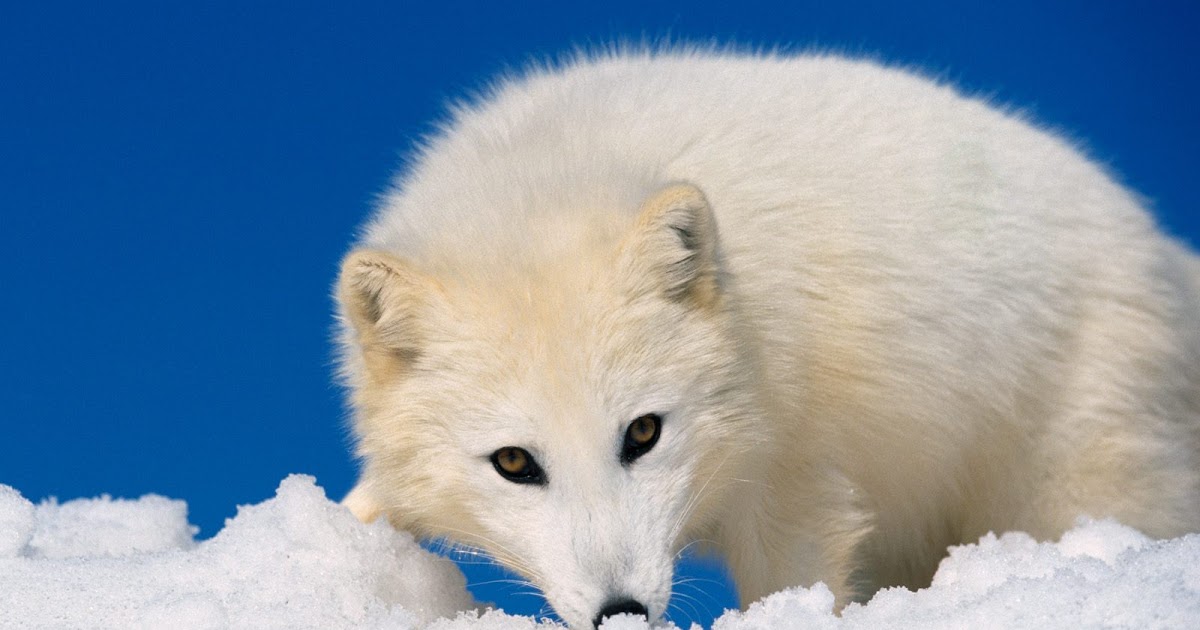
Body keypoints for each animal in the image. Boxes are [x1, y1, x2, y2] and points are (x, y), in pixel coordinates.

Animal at [333, 50, 1200, 628]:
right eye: (514, 463)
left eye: (643, 433)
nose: (621, 613)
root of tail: (1162, 249)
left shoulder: (797, 482)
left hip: (1073, 487)